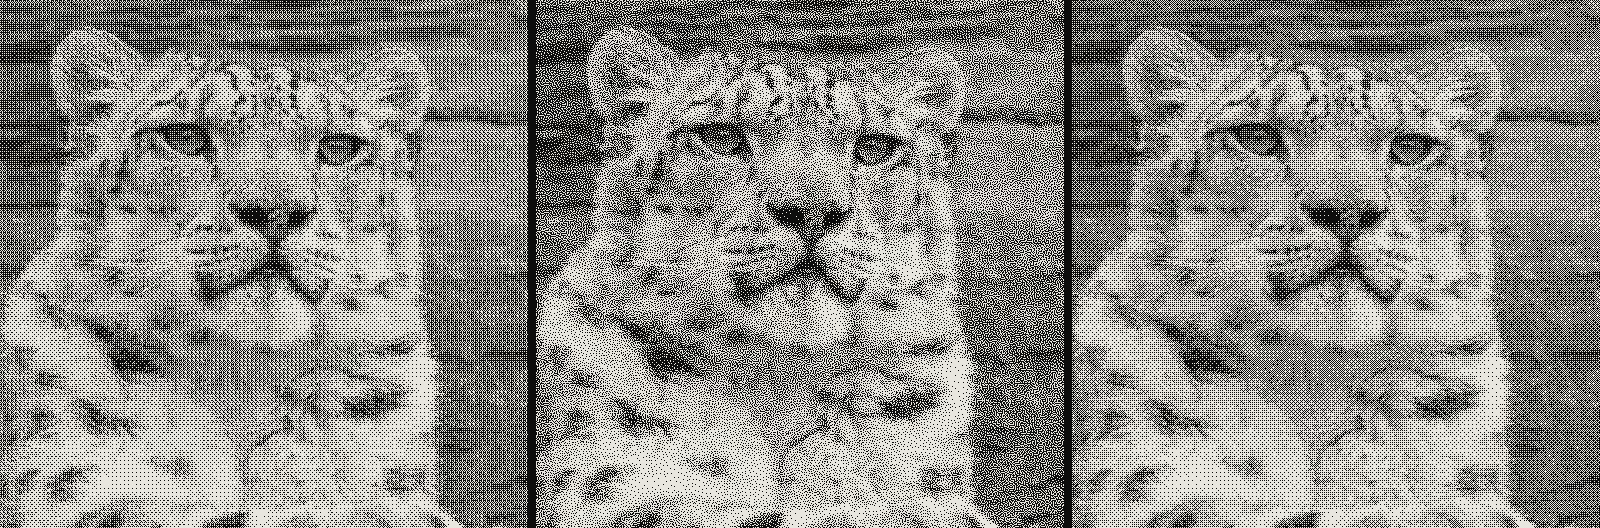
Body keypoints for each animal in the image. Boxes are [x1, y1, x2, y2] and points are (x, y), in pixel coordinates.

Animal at [533, 25, 997, 528]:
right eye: (719, 136)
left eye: (876, 147)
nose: (812, 210)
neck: (782, 387)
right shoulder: (613, 484)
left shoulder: (927, 491)